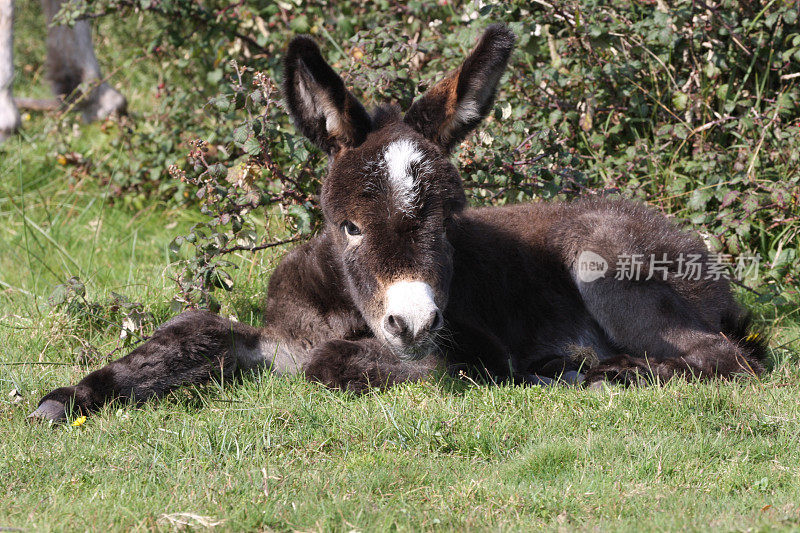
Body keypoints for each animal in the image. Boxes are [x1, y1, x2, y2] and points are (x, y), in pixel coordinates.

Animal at [28, 25, 764, 422]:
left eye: (450, 218)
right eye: (347, 225)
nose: (411, 323)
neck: (335, 308)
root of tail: (704, 258)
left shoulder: (464, 353)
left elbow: (328, 362)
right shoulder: (264, 337)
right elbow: (182, 333)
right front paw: (64, 399)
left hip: (603, 265)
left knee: (724, 359)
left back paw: (597, 370)